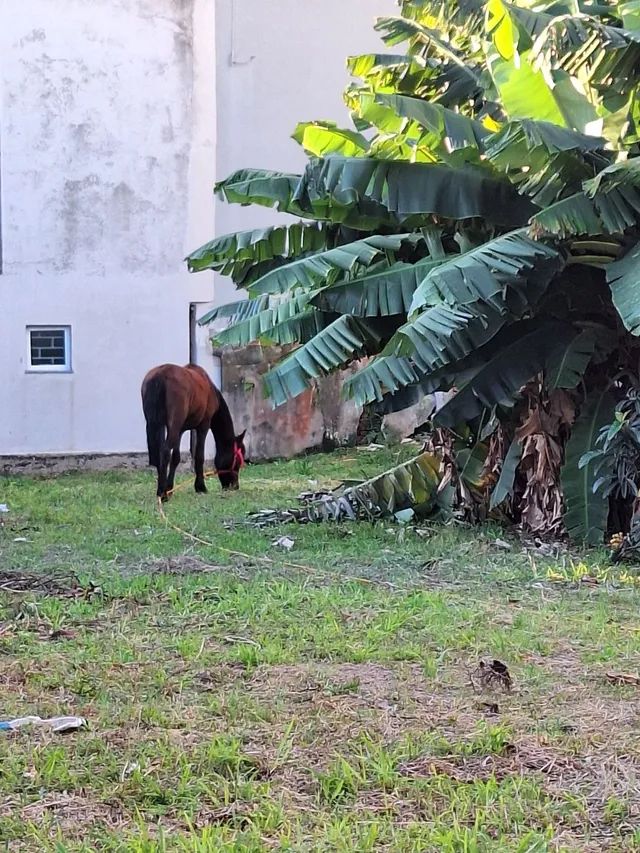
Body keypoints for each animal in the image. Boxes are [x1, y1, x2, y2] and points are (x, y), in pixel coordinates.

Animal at [141, 362, 246, 496]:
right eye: (237, 461)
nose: (235, 486)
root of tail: (160, 374)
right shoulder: (203, 426)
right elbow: (199, 456)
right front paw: (200, 486)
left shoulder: (180, 430)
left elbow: (176, 458)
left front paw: (170, 488)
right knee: (165, 451)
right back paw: (162, 493)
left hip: (157, 424)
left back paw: (162, 489)